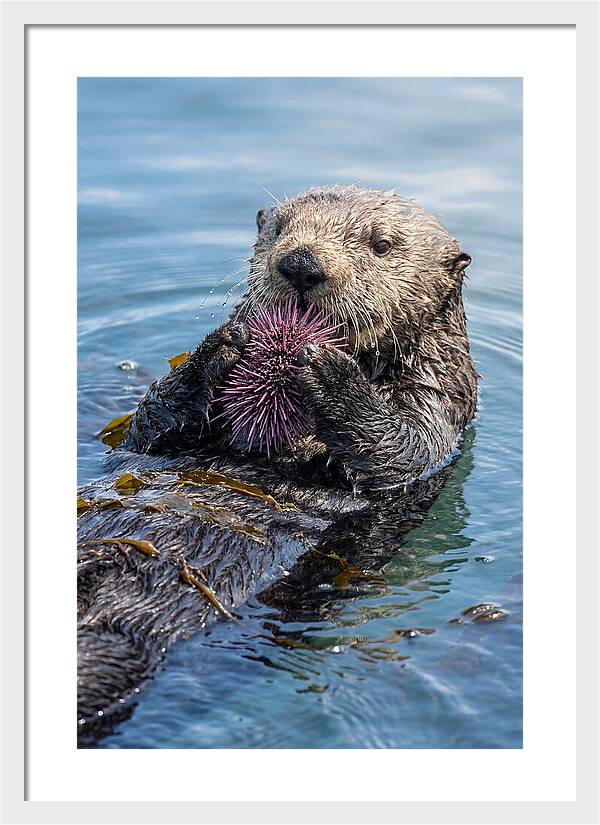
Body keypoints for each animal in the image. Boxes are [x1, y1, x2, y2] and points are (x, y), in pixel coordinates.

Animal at [77, 185, 477, 742]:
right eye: (280, 229)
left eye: (381, 245)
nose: (301, 263)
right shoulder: (151, 439)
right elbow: (148, 428)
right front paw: (220, 346)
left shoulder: (439, 405)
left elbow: (401, 450)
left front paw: (331, 373)